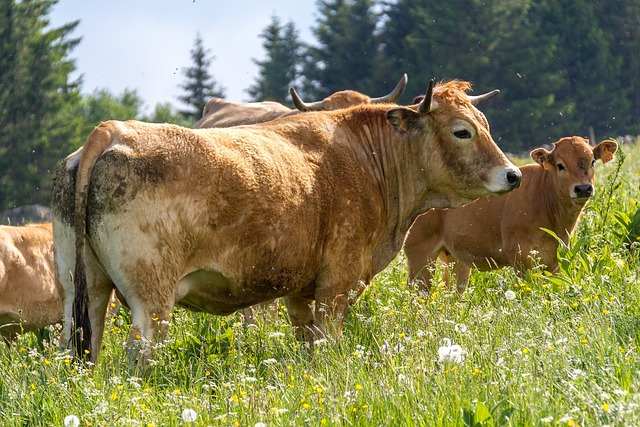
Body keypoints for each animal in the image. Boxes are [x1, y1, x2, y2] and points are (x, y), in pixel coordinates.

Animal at [404, 136, 618, 294]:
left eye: (592, 161)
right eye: (560, 165)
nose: (583, 188)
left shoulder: (555, 257)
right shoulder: (520, 256)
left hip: (456, 259)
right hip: (420, 256)